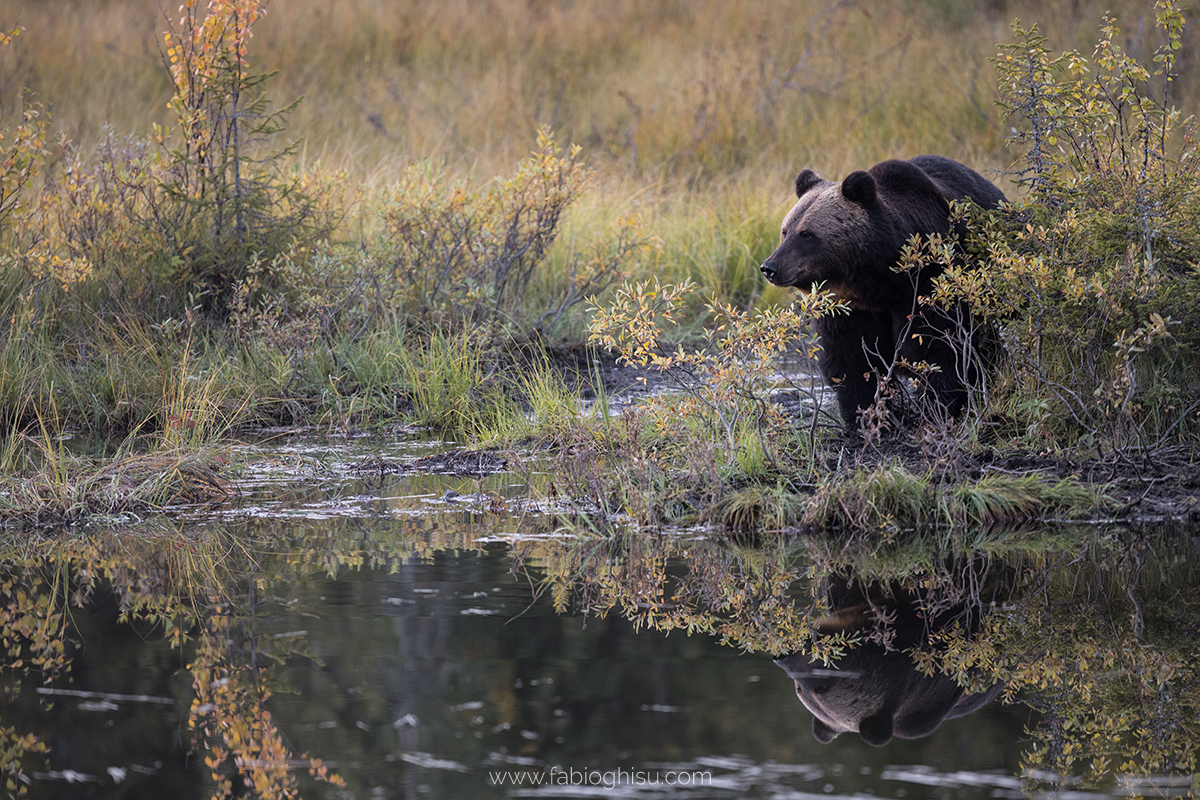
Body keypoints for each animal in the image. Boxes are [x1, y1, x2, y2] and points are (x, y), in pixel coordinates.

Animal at [758, 158, 1003, 431]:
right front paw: (866, 419)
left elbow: (940, 347)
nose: (770, 267)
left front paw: (936, 411)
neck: (880, 281)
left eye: (807, 234)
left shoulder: (930, 280)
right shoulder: (849, 308)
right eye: (785, 230)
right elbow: (852, 359)